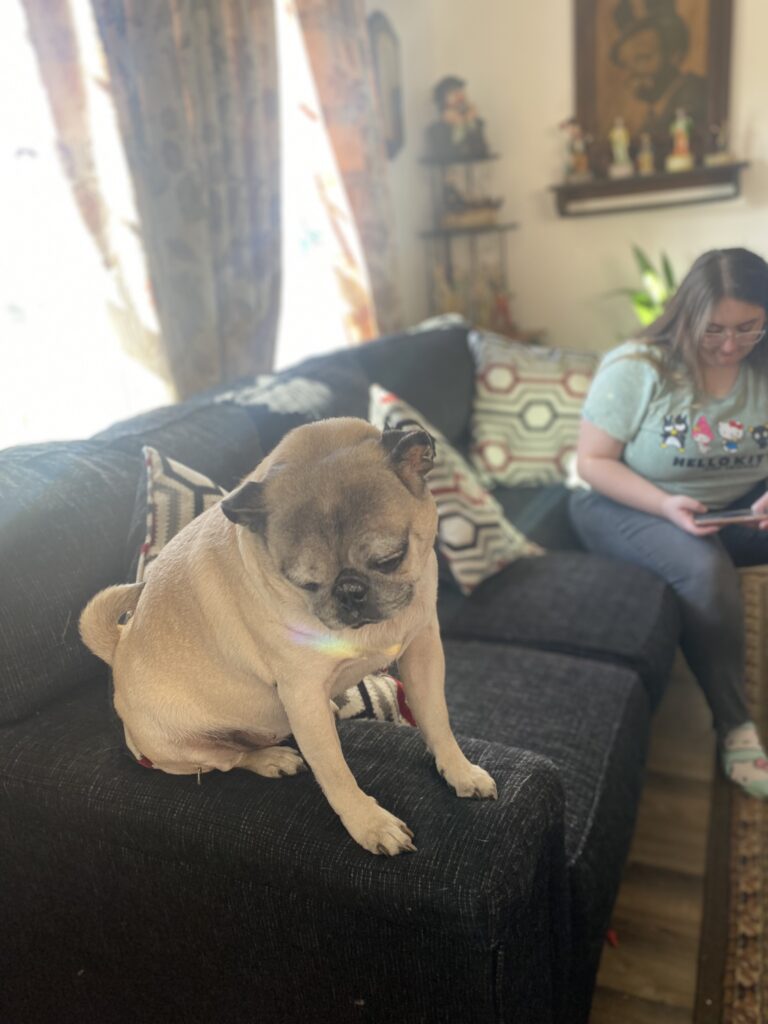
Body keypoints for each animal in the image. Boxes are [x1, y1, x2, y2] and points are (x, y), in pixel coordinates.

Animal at [80, 418, 497, 855]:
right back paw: (272, 759)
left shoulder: (423, 650)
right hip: (187, 749)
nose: (349, 591)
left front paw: (459, 771)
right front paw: (369, 824)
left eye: (391, 559)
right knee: (231, 758)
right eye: (305, 583)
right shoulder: (302, 693)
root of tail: (119, 646)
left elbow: (437, 720)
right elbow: (335, 772)